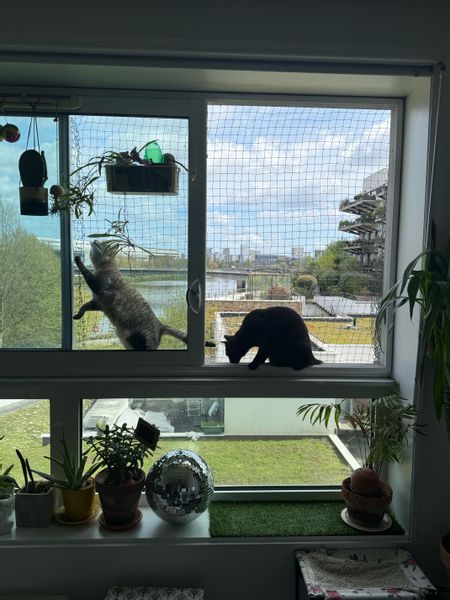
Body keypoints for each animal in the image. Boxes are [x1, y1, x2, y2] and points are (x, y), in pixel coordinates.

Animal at [74, 240, 215, 350]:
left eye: (104, 243)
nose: (94, 239)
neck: (104, 268)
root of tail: (160, 325)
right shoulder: (98, 303)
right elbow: (84, 307)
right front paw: (78, 315)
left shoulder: (101, 289)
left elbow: (87, 273)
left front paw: (78, 260)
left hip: (139, 340)